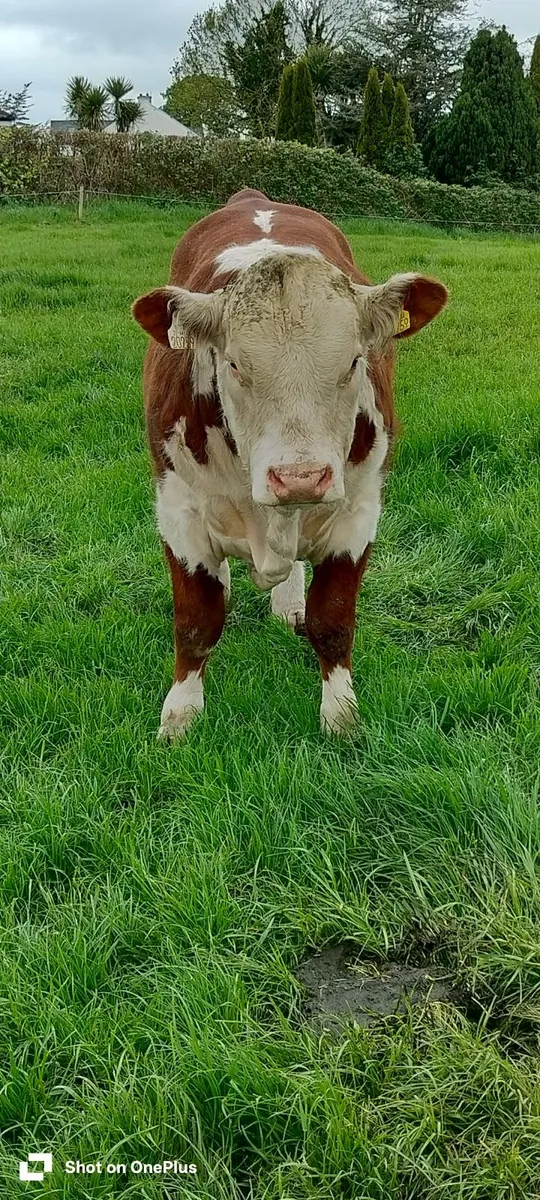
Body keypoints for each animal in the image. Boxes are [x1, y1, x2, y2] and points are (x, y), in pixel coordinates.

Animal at [132, 189, 448, 738]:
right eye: (234, 364)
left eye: (354, 361)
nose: (299, 477)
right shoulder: (177, 511)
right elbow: (196, 621)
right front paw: (181, 715)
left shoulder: (359, 512)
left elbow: (334, 621)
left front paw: (341, 717)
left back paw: (289, 604)